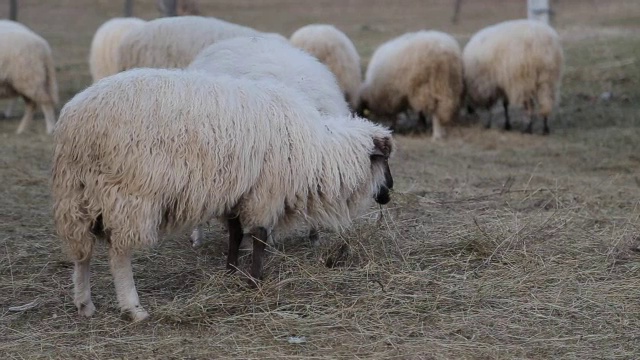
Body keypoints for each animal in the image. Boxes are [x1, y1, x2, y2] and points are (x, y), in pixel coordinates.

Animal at [52, 67, 396, 320]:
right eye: (384, 159)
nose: (389, 194)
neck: (319, 152)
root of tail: (75, 123)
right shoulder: (265, 191)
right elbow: (259, 235)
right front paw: (255, 279)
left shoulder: (238, 192)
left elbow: (235, 233)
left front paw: (231, 270)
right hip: (128, 195)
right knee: (119, 254)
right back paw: (133, 308)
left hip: (76, 194)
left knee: (82, 252)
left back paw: (84, 304)